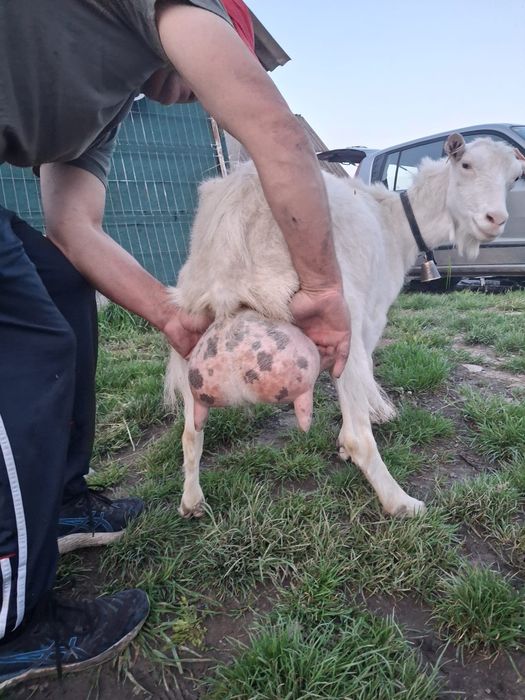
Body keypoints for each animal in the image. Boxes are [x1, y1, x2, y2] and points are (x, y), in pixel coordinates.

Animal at [166, 133, 525, 518]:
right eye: (466, 165)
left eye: (512, 179)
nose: (495, 219)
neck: (393, 221)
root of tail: (235, 237)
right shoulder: (371, 314)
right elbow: (368, 364)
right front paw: (376, 411)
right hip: (339, 313)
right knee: (360, 436)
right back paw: (401, 502)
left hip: (190, 328)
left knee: (190, 432)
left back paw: (191, 501)